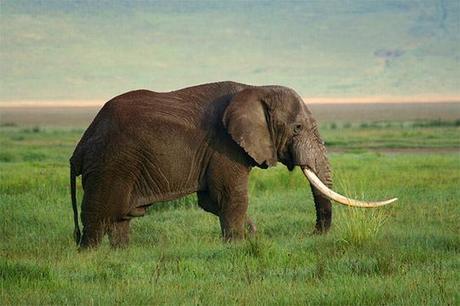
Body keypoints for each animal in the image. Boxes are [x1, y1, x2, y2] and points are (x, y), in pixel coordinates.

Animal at [69, 81, 396, 249]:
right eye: (298, 128)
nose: (313, 234)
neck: (255, 90)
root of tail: (81, 145)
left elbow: (212, 201)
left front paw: (249, 235)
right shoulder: (224, 146)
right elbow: (230, 197)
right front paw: (238, 244)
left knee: (120, 218)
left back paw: (120, 253)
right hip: (111, 162)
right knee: (99, 216)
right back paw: (90, 255)